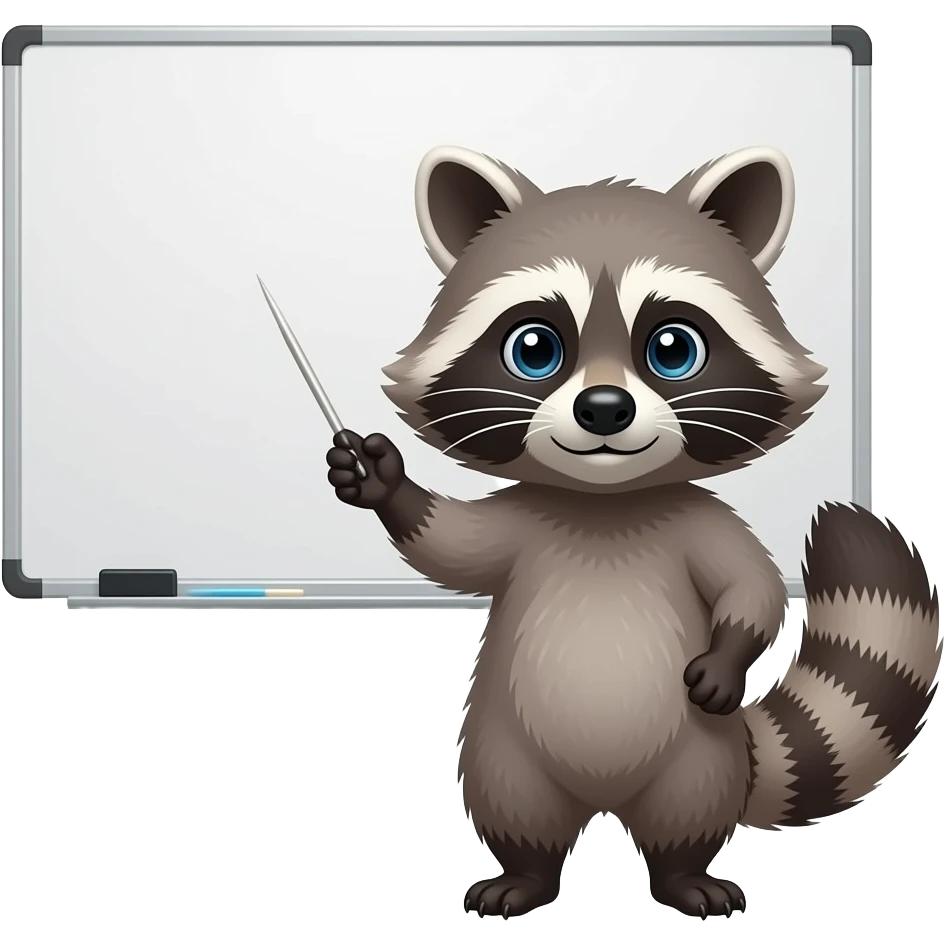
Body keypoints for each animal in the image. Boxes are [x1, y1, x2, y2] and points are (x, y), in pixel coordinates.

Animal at [325, 146, 942, 920]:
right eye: (534, 347)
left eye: (672, 347)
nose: (603, 408)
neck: (605, 502)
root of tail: (604, 800)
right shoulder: (527, 517)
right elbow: (454, 547)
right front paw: (384, 485)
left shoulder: (696, 516)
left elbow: (753, 585)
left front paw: (728, 653)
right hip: (501, 744)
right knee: (512, 804)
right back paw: (526, 874)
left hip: (699, 756)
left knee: (685, 815)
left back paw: (683, 875)